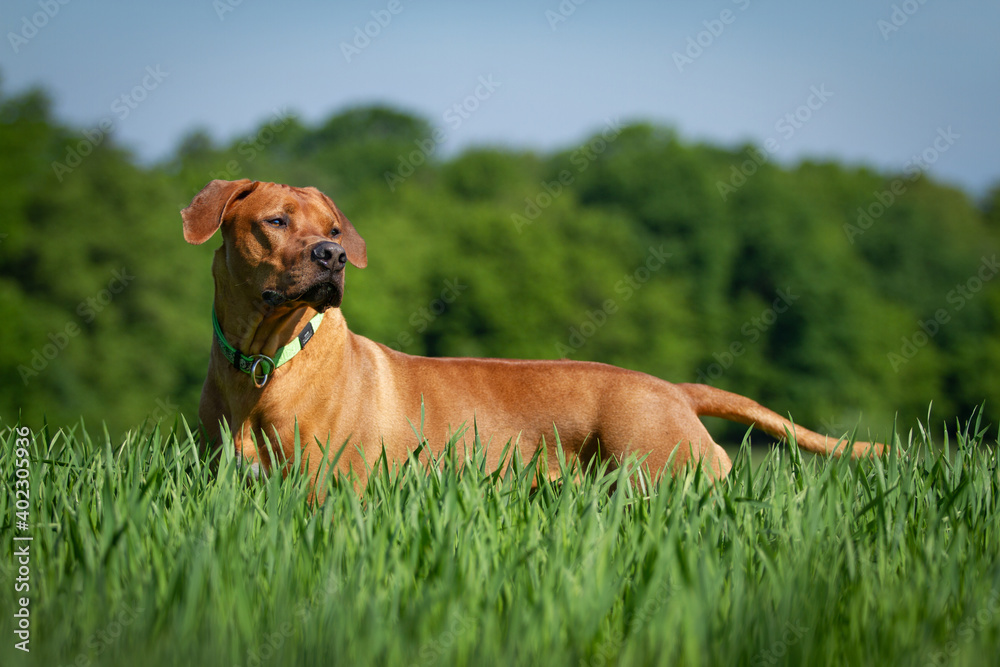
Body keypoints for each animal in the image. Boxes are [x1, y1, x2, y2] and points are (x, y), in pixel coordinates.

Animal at [182, 180, 884, 494]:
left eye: (333, 228)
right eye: (276, 221)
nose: (332, 257)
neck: (263, 359)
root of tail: (673, 389)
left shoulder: (331, 487)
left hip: (662, 468)